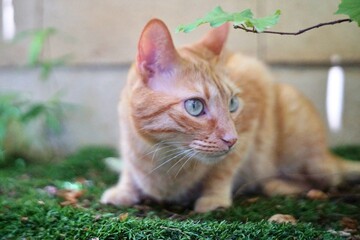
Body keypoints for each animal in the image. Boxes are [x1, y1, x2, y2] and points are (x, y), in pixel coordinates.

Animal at [100, 19, 360, 213]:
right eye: (195, 106)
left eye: (233, 104)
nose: (231, 139)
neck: (161, 152)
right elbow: (129, 166)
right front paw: (124, 189)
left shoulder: (253, 101)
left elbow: (224, 168)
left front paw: (214, 199)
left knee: (326, 180)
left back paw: (276, 183)